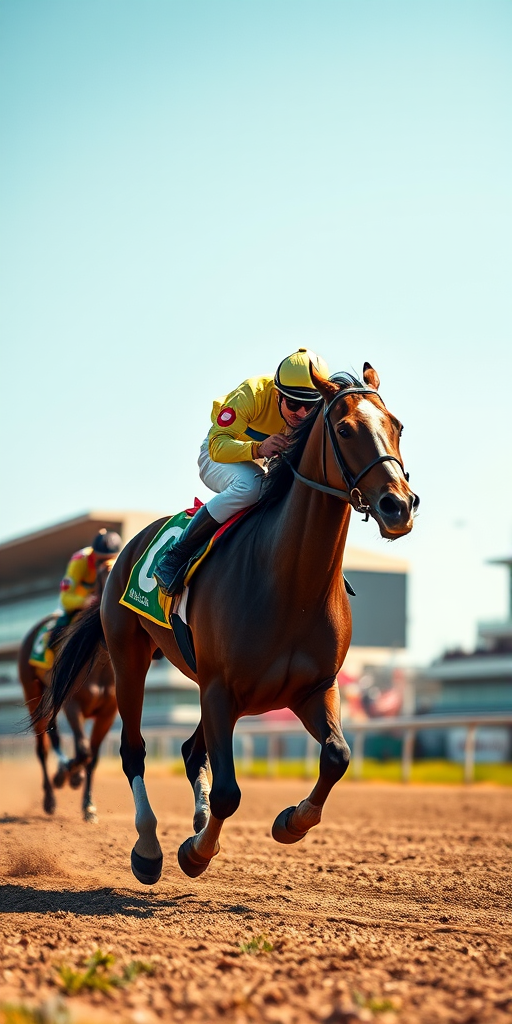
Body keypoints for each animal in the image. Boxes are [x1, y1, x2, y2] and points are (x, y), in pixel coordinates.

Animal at [19, 560, 117, 823]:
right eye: (106, 572)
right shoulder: (72, 704)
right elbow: (83, 751)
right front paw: (66, 776)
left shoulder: (108, 712)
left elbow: (92, 758)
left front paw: (89, 806)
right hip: (34, 696)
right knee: (42, 749)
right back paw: (50, 798)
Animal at [43, 362, 419, 882]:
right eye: (344, 429)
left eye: (397, 426)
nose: (398, 506)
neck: (289, 581)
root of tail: (128, 547)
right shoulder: (220, 689)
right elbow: (228, 792)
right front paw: (195, 852)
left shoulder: (312, 687)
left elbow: (337, 756)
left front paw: (290, 822)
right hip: (131, 659)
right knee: (133, 749)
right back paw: (149, 847)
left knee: (190, 750)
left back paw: (197, 820)